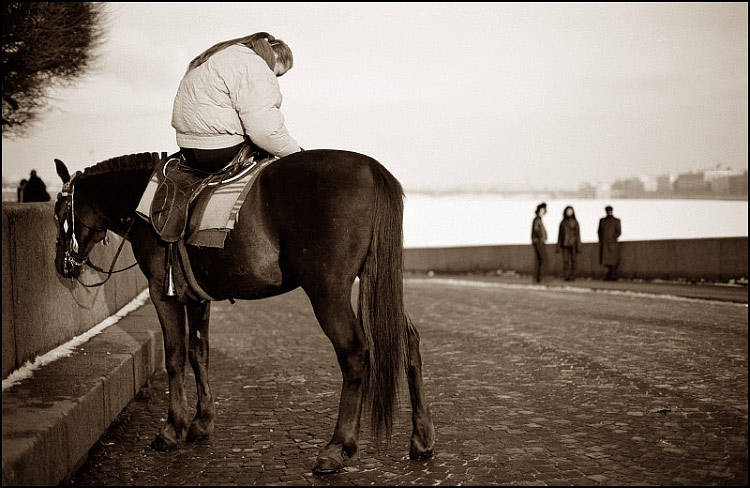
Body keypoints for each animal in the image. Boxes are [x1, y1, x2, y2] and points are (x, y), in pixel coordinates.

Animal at [53, 149, 434, 472]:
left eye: (58, 214)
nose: (62, 265)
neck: (143, 203)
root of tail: (371, 168)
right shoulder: (197, 297)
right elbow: (199, 352)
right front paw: (201, 421)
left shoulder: (164, 293)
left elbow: (175, 357)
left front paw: (172, 428)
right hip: (377, 282)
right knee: (408, 342)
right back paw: (421, 437)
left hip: (328, 292)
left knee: (355, 353)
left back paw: (338, 447)